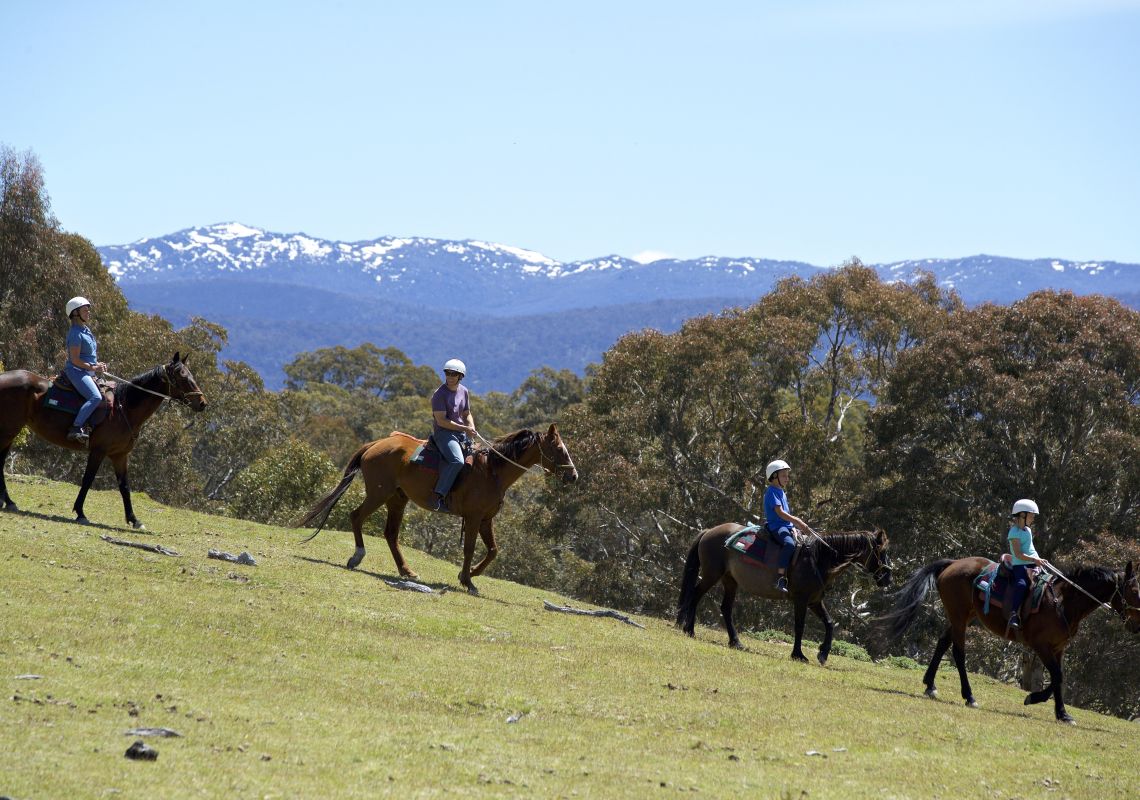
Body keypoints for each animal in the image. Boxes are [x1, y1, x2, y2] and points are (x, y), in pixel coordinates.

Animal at [0, 353, 208, 528]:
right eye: (182, 376)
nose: (202, 403)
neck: (124, 408)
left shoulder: (120, 455)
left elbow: (124, 487)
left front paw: (134, 520)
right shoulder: (98, 451)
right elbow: (88, 480)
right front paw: (80, 512)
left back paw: (7, 501)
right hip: (9, 431)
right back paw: (8, 502)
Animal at [296, 426, 574, 597]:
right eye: (560, 450)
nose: (573, 475)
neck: (492, 471)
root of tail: (377, 444)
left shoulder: (486, 520)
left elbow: (493, 550)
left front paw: (469, 574)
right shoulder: (473, 518)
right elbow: (470, 549)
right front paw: (468, 580)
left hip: (397, 499)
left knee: (391, 534)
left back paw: (406, 571)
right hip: (378, 494)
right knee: (356, 517)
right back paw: (357, 557)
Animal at [674, 519, 889, 665]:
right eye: (882, 552)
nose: (888, 578)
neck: (818, 558)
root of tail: (710, 531)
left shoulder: (814, 601)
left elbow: (829, 623)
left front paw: (823, 653)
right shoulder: (801, 600)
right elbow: (799, 627)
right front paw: (798, 655)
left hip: (730, 581)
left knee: (725, 608)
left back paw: (735, 642)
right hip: (712, 575)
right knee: (695, 595)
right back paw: (689, 629)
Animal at [880, 558, 1140, 729]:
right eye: (1135, 591)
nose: (1136, 626)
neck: (1063, 602)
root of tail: (953, 563)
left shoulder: (1058, 649)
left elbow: (1059, 679)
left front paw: (1062, 714)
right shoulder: (1041, 646)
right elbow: (1057, 677)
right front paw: (1035, 699)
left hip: (962, 617)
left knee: (943, 642)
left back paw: (930, 685)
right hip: (959, 618)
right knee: (958, 653)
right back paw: (969, 696)